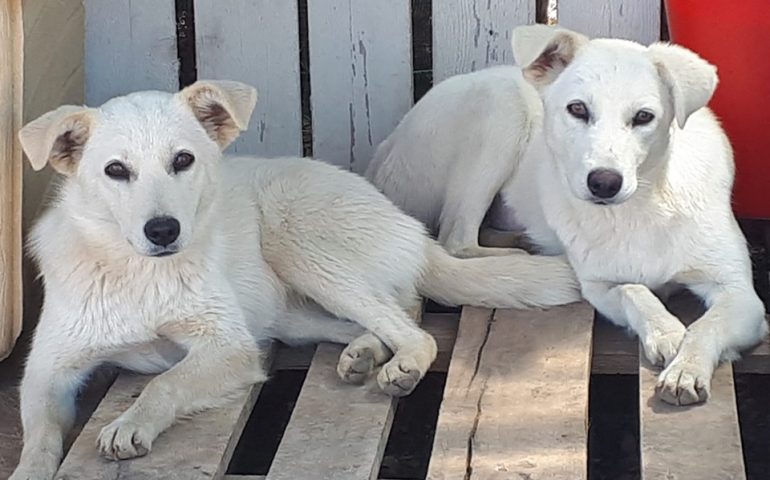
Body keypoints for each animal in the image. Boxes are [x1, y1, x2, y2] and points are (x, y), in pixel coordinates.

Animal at [12, 80, 580, 478]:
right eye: (115, 170)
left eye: (183, 160)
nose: (164, 230)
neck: (136, 273)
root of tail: (413, 229)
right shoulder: (45, 371)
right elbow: (36, 436)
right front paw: (30, 470)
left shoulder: (229, 346)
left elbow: (164, 383)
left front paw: (130, 422)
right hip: (289, 315)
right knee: (382, 316)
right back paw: (365, 352)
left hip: (294, 238)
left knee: (413, 322)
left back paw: (403, 364)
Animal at [368, 22, 768, 404]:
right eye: (577, 109)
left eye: (643, 117)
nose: (604, 183)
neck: (642, 206)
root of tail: (385, 148)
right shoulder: (600, 287)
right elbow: (634, 290)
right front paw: (665, 331)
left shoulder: (741, 294)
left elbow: (706, 326)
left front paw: (687, 369)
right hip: (502, 109)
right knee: (456, 239)